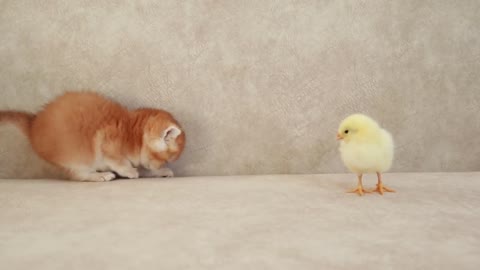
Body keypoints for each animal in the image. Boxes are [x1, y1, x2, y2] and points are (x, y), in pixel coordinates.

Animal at [0, 90, 186, 181]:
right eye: (165, 159)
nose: (161, 165)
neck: (132, 133)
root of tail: (33, 124)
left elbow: (142, 168)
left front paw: (160, 172)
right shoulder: (107, 143)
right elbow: (121, 162)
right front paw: (130, 171)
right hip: (76, 158)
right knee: (79, 176)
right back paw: (100, 175)